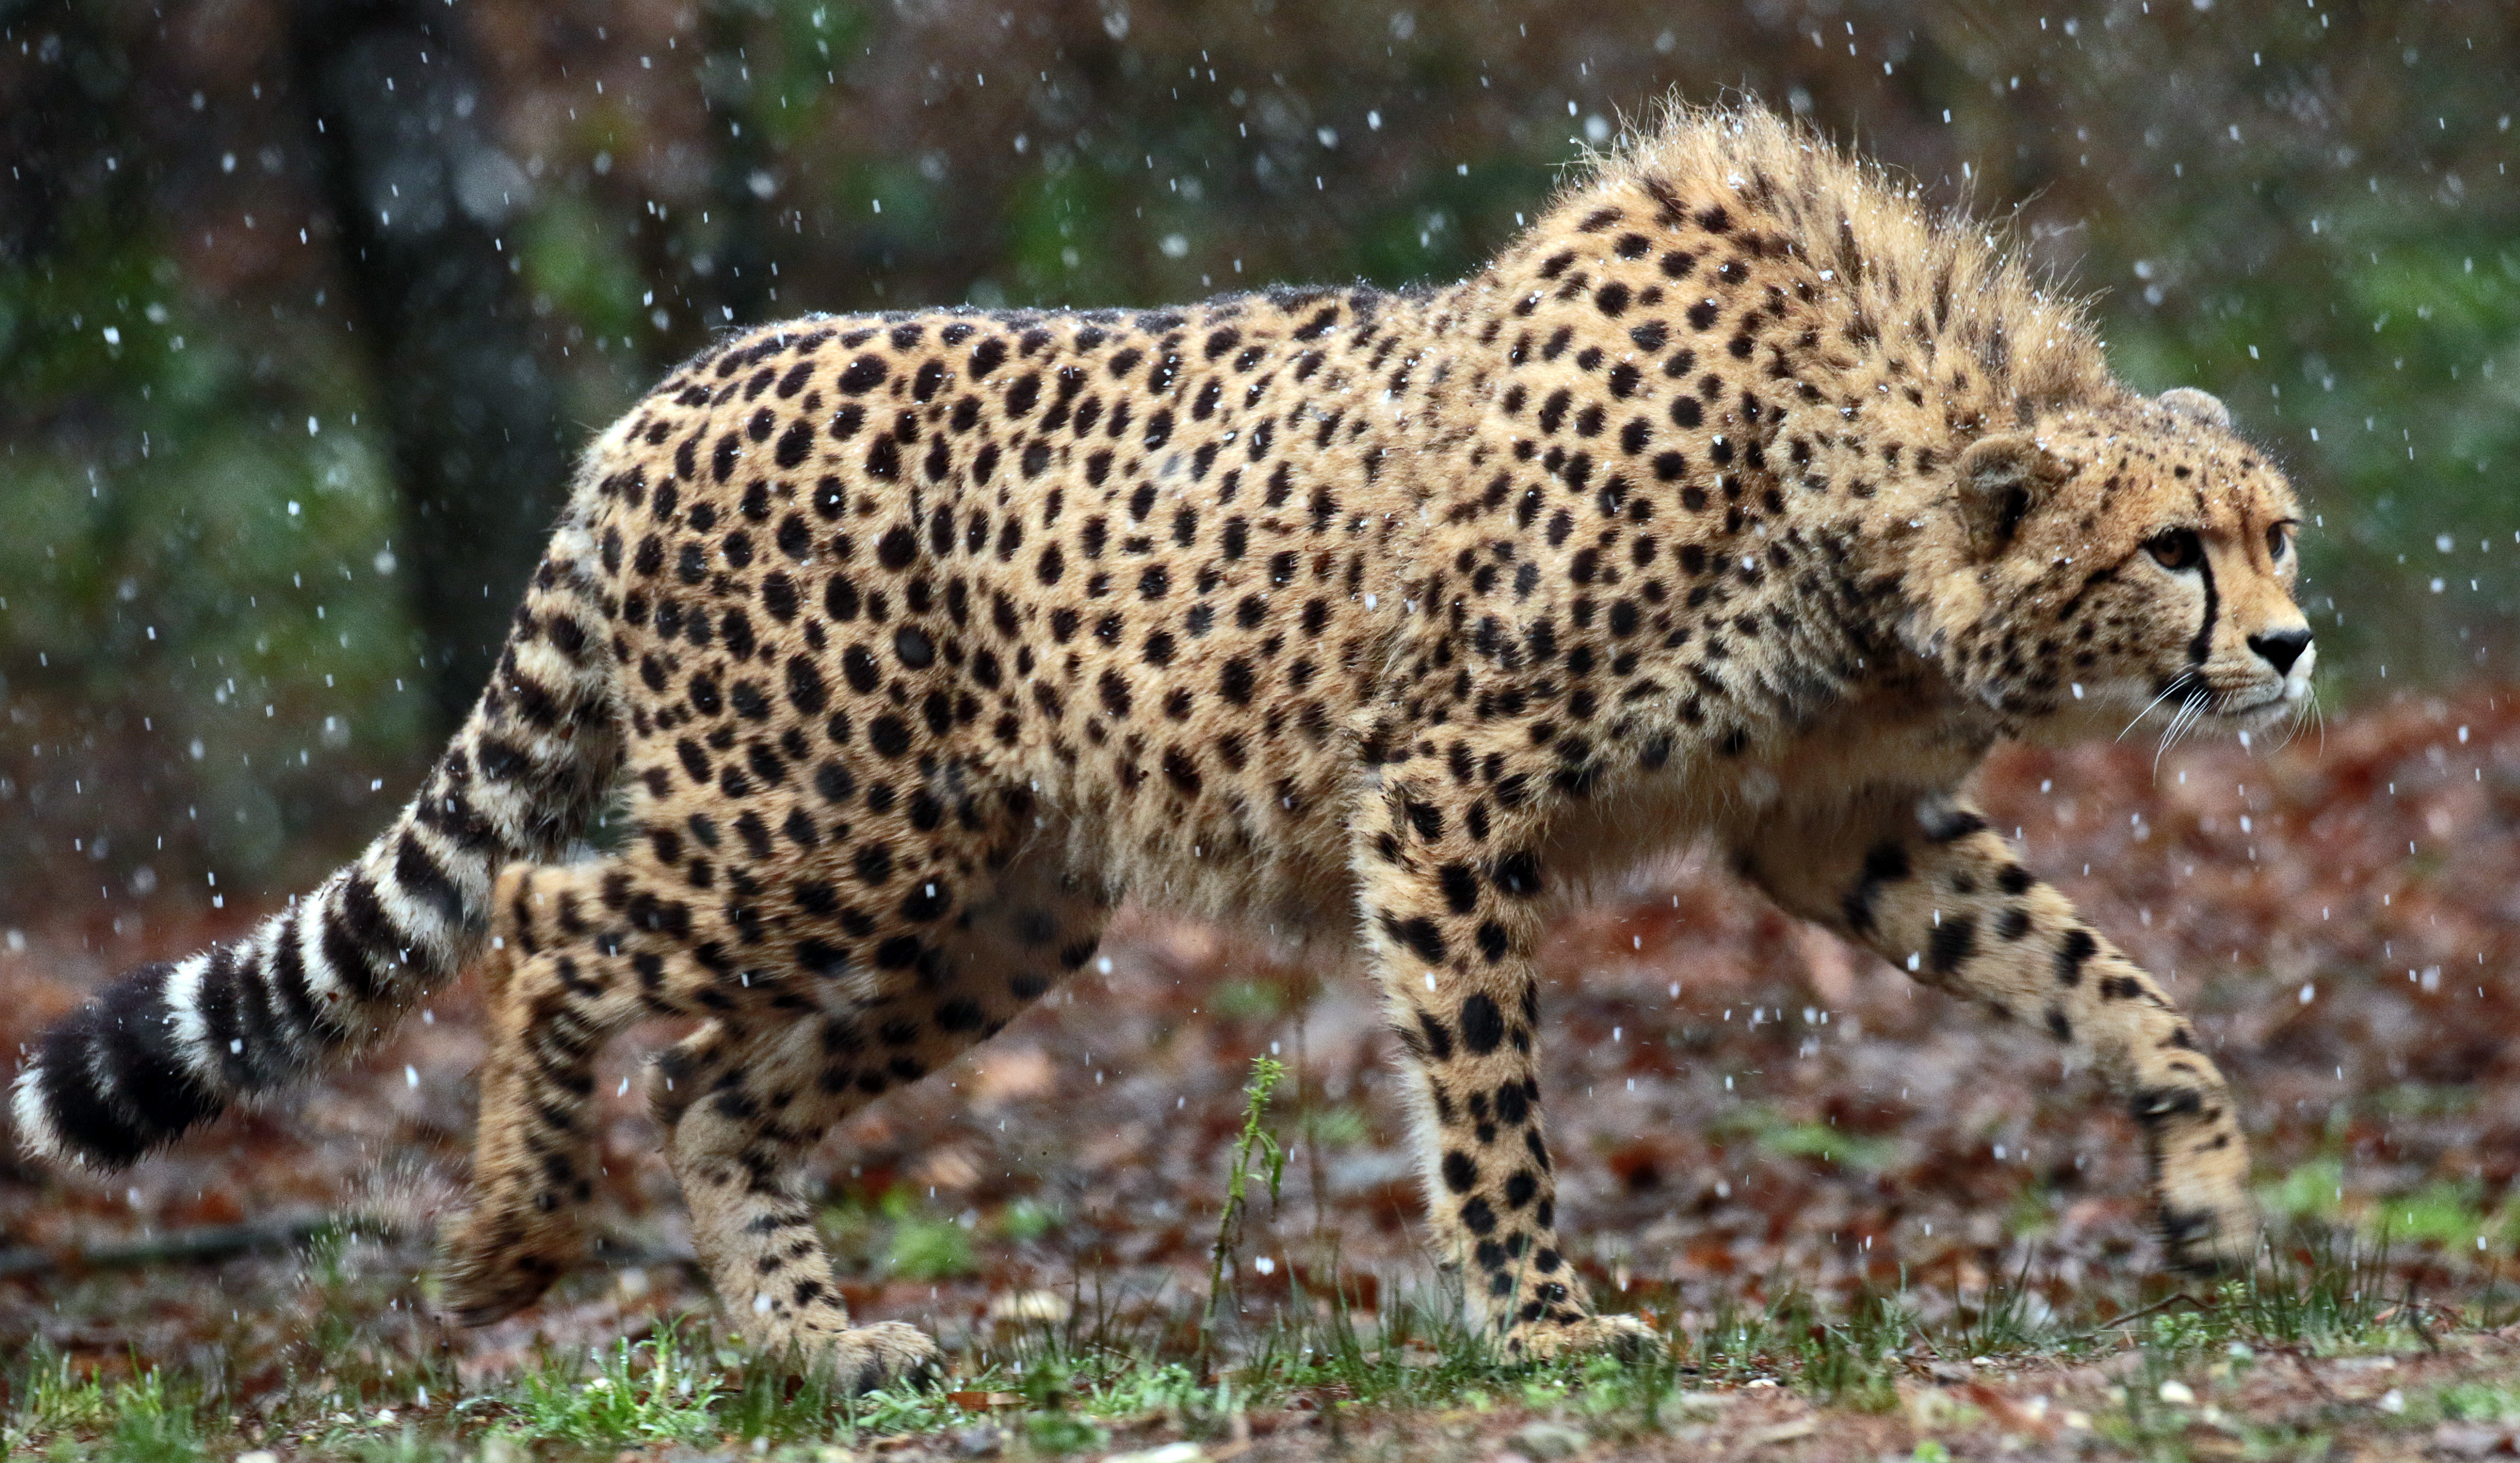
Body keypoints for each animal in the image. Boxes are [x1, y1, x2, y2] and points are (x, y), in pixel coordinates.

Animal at [10, 108, 2308, 1392]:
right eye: (2175, 548)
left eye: (2276, 529)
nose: (2289, 645)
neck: (1870, 467)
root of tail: (676, 384)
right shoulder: (1446, 789)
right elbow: (1489, 1092)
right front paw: (1540, 1316)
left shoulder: (1830, 823)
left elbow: (2106, 978)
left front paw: (2205, 1188)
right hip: (823, 826)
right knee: (556, 919)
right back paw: (513, 1236)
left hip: (1000, 905)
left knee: (714, 1080)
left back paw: (811, 1338)